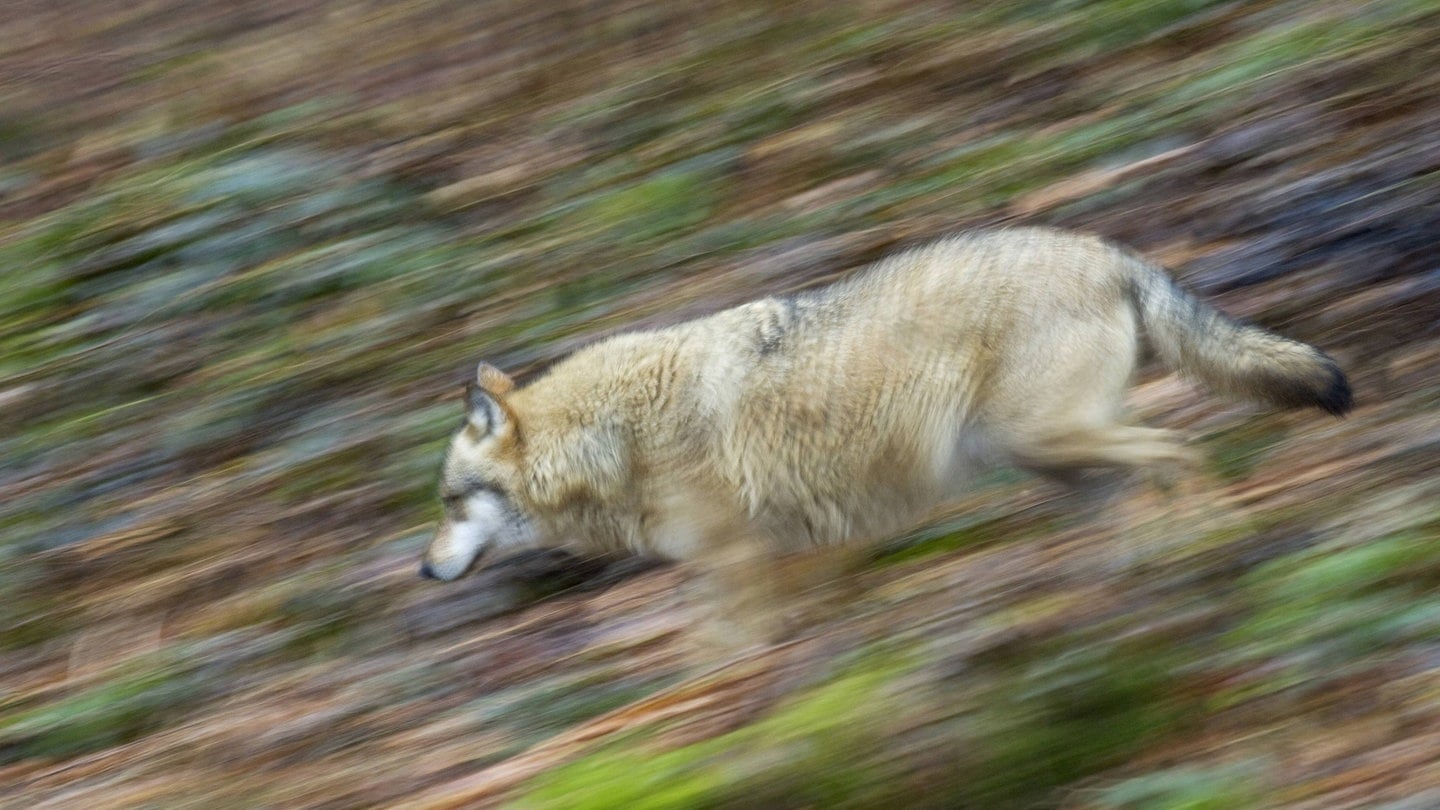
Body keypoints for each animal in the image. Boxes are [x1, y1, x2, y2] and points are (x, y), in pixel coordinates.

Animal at [420, 227, 1347, 637]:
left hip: (1049, 444)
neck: (612, 437)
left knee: (1179, 452)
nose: (424, 571)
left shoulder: (736, 565)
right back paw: (1145, 583)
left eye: (450, 502)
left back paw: (1216, 547)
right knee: (1144, 488)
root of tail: (1107, 251)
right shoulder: (796, 558)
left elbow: (724, 657)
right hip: (1052, 461)